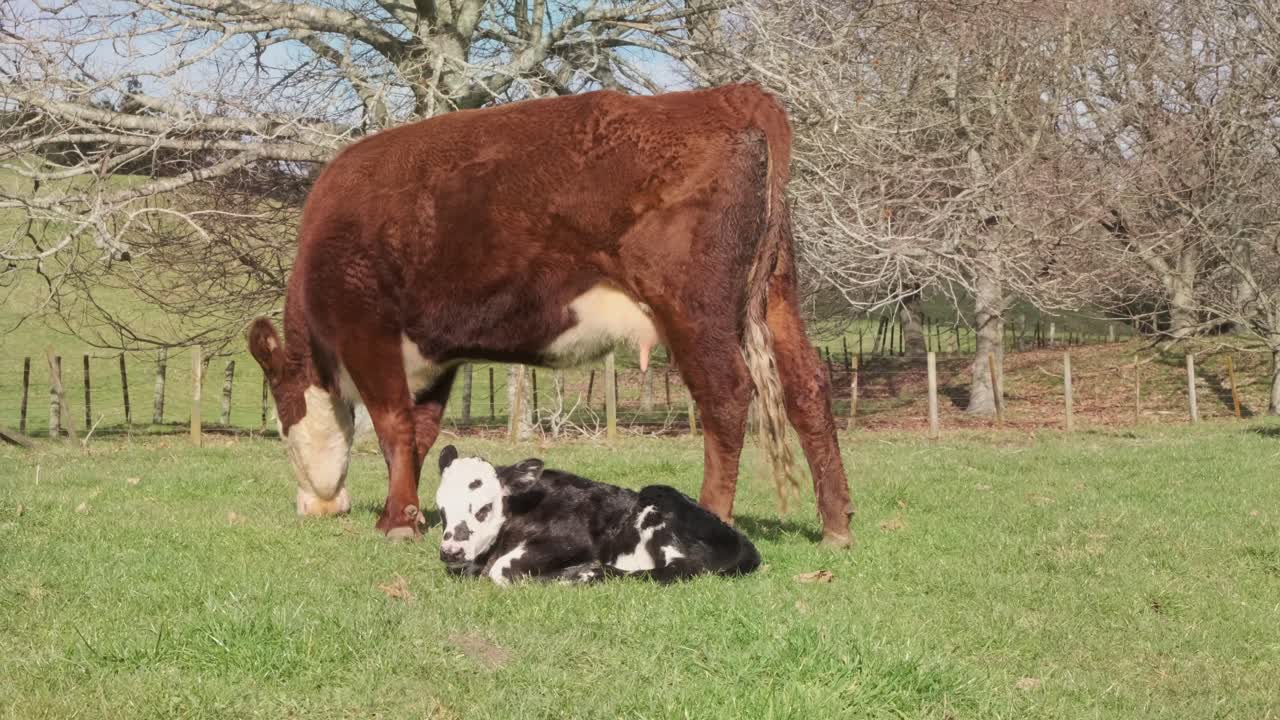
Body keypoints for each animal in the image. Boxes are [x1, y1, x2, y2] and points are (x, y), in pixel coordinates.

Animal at [246, 83, 855, 547]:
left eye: (279, 423)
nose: (315, 508)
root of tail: (727, 95)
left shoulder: (367, 329)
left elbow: (393, 425)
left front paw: (395, 522)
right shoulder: (435, 352)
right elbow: (420, 432)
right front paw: (415, 512)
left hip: (693, 304)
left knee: (726, 394)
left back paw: (714, 516)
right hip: (776, 292)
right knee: (807, 387)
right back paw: (836, 528)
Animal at [434, 445, 761, 585]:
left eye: (484, 508)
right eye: (441, 509)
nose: (450, 551)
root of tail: (742, 540)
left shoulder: (573, 541)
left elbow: (501, 570)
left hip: (659, 500)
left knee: (679, 570)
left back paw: (590, 573)